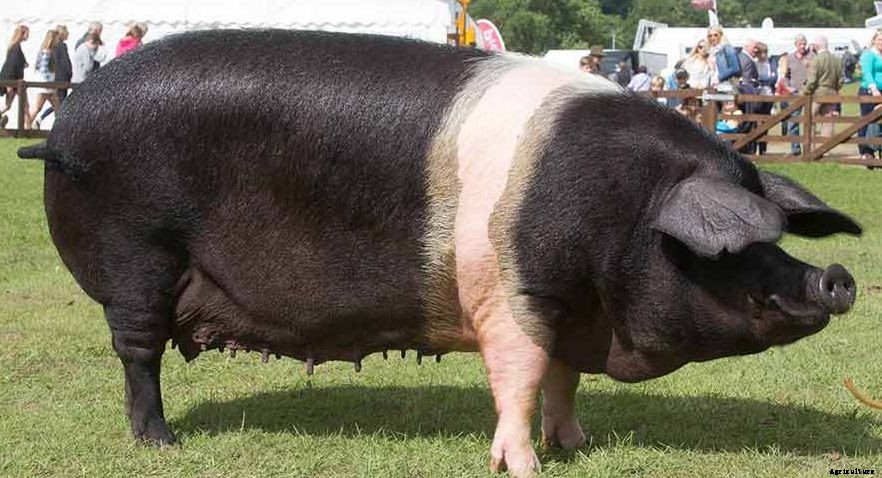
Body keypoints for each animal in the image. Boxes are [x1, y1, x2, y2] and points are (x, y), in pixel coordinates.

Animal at [18, 30, 861, 476]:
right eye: (736, 251)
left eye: (775, 241)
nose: (837, 277)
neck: (626, 215)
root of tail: (62, 128)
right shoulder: (511, 298)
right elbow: (519, 377)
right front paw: (523, 466)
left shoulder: (563, 302)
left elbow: (561, 379)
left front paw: (576, 446)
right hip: (137, 252)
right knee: (137, 352)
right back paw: (160, 441)